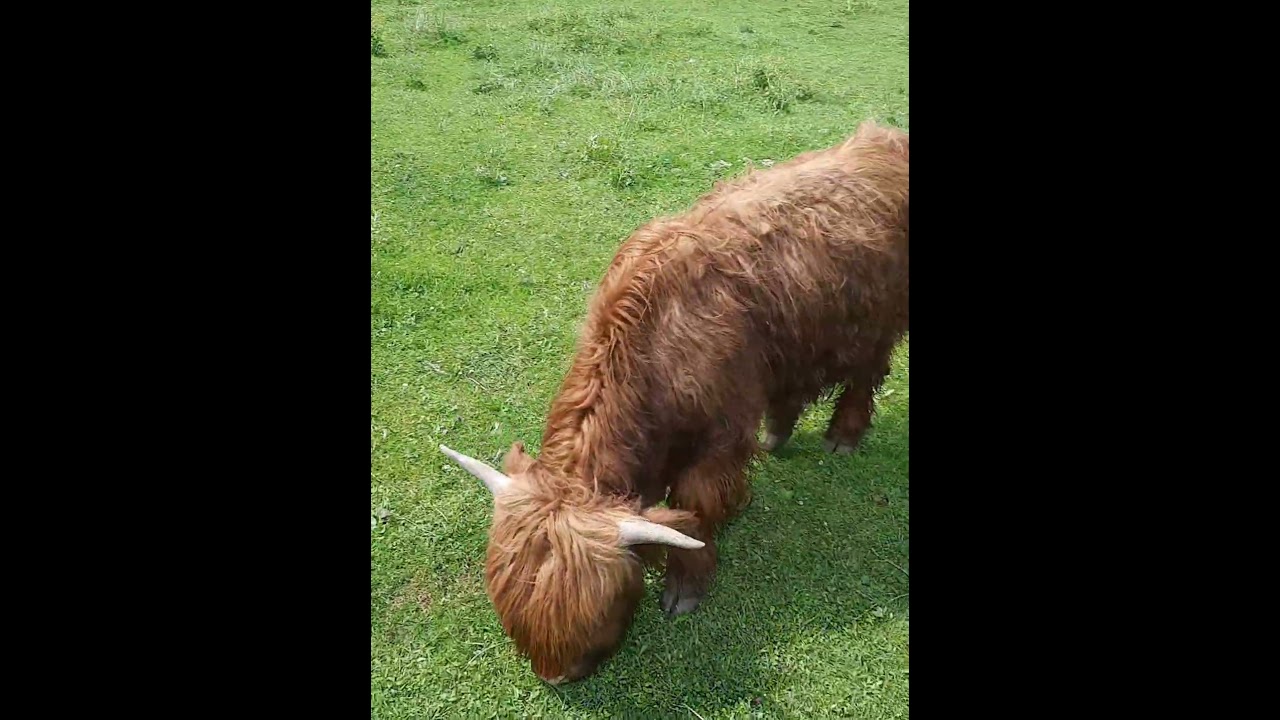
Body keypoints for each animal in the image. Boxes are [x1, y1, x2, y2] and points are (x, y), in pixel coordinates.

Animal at [440, 121, 908, 684]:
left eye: (598, 609)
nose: (558, 675)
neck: (651, 350)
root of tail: (884, 136)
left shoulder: (720, 437)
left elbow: (696, 506)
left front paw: (685, 587)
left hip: (880, 321)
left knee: (867, 374)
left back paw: (843, 436)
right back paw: (777, 433)